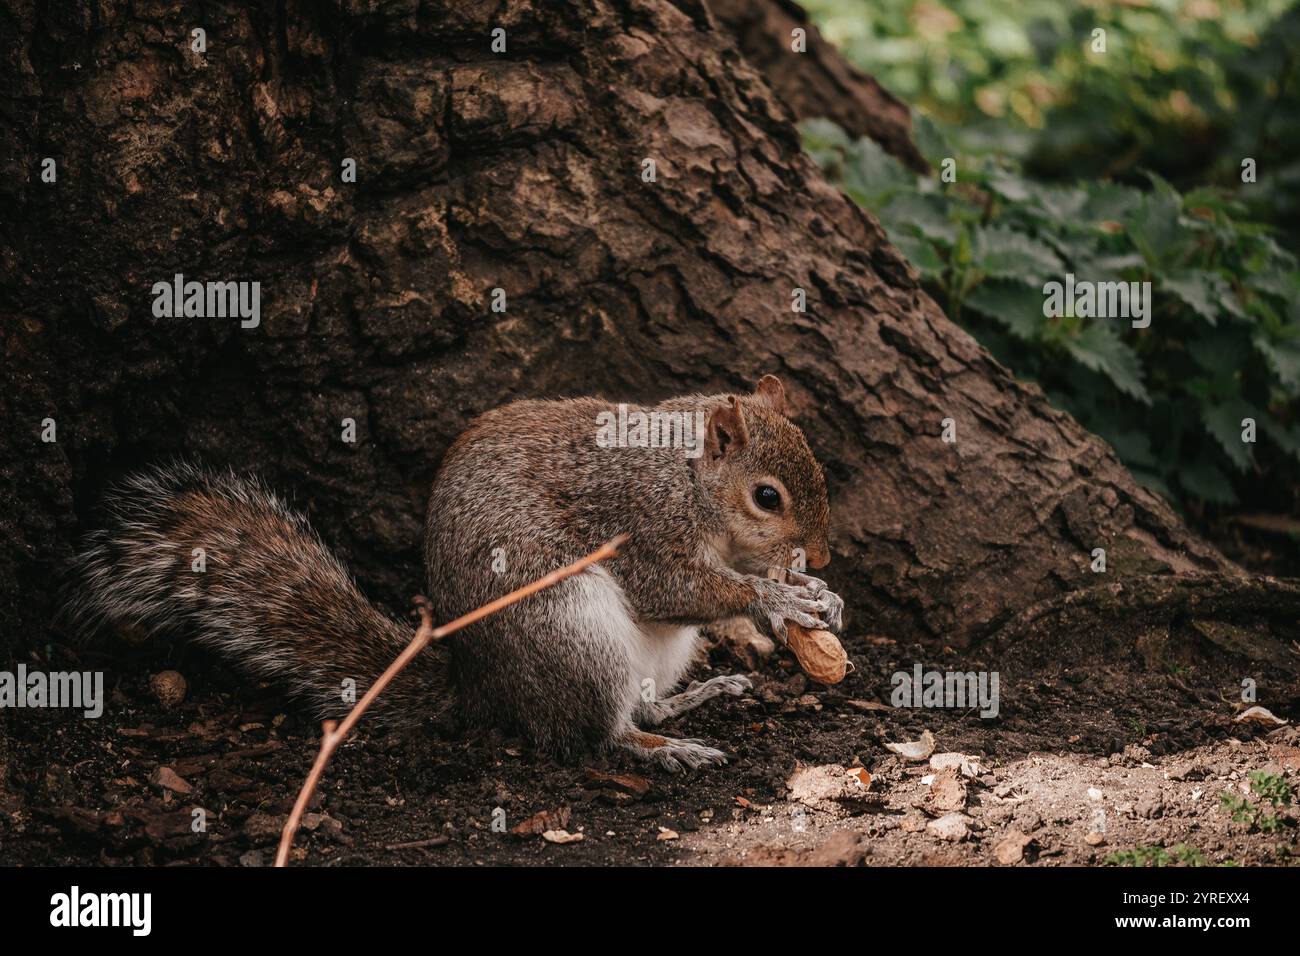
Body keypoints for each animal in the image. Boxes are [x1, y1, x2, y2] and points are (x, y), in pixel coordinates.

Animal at [65, 374, 847, 770]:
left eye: (818, 463)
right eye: (767, 497)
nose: (823, 555)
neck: (686, 474)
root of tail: (481, 688)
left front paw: (816, 594)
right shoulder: (639, 522)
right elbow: (676, 587)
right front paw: (776, 599)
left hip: (651, 651)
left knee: (640, 702)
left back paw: (697, 698)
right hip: (570, 629)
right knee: (593, 732)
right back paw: (662, 748)